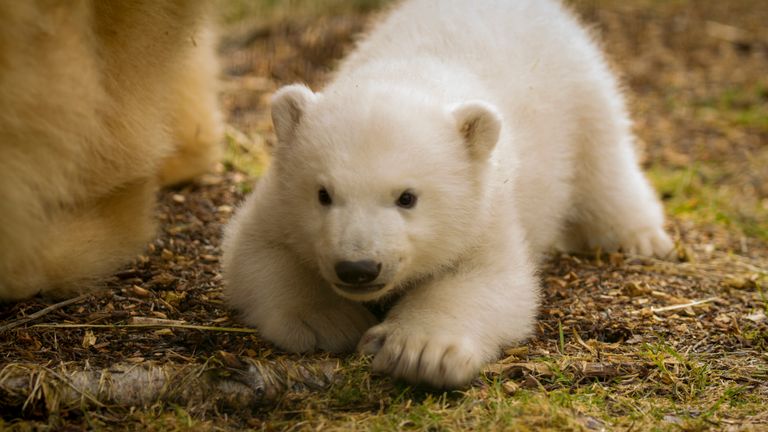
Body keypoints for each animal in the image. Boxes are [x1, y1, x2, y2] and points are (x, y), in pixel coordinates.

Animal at [222, 0, 672, 388]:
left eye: (407, 197)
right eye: (323, 194)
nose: (358, 268)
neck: (407, 76)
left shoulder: (486, 207)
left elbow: (490, 279)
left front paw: (420, 350)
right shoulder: (278, 200)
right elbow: (255, 249)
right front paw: (328, 321)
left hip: (580, 87)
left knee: (604, 160)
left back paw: (641, 237)